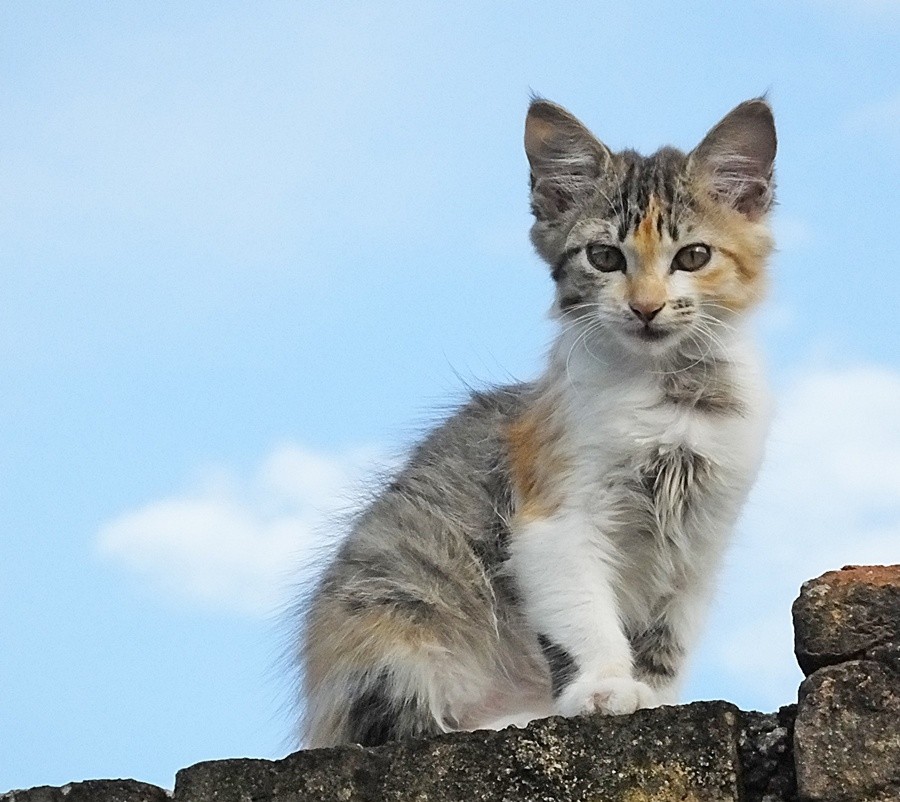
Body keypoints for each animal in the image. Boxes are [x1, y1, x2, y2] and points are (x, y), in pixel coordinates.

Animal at [296, 97, 772, 748]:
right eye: (605, 257)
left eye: (693, 257)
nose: (646, 308)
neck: (672, 397)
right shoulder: (555, 518)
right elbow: (586, 620)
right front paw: (602, 689)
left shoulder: (699, 546)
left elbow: (664, 645)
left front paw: (653, 696)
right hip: (391, 615)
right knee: (408, 719)